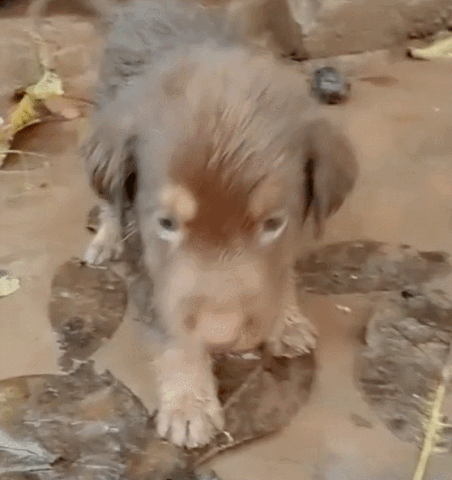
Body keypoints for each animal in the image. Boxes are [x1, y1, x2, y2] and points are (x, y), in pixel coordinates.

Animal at [80, 0, 356, 450]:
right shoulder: (149, 262)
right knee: (107, 200)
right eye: (166, 223)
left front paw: (286, 318)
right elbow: (174, 334)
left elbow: (281, 271)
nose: (221, 335)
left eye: (273, 224)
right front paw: (189, 403)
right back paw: (105, 238)